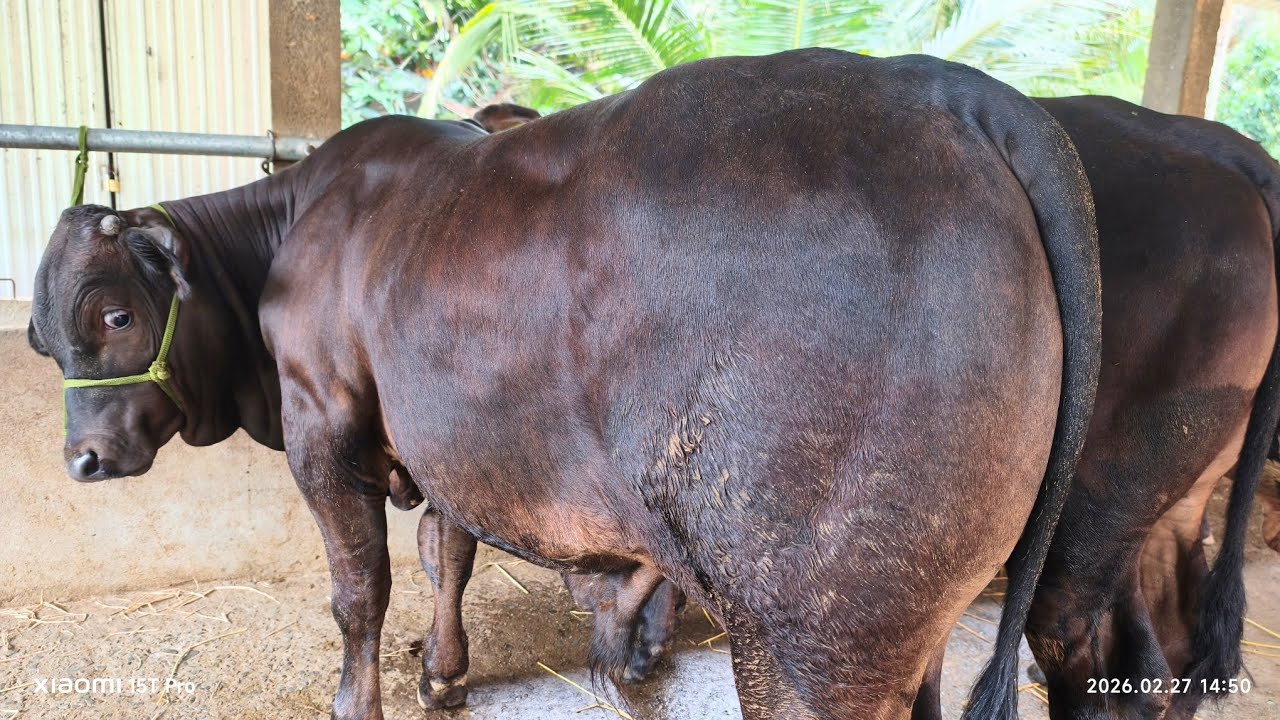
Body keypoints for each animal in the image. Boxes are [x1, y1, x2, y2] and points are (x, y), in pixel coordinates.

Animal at [27, 49, 1101, 720]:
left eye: (114, 314)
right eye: (39, 336)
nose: (84, 458)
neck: (300, 228)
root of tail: (953, 91)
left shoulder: (323, 423)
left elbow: (361, 589)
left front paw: (359, 698)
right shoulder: (451, 436)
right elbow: (446, 553)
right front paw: (444, 673)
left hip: (815, 630)